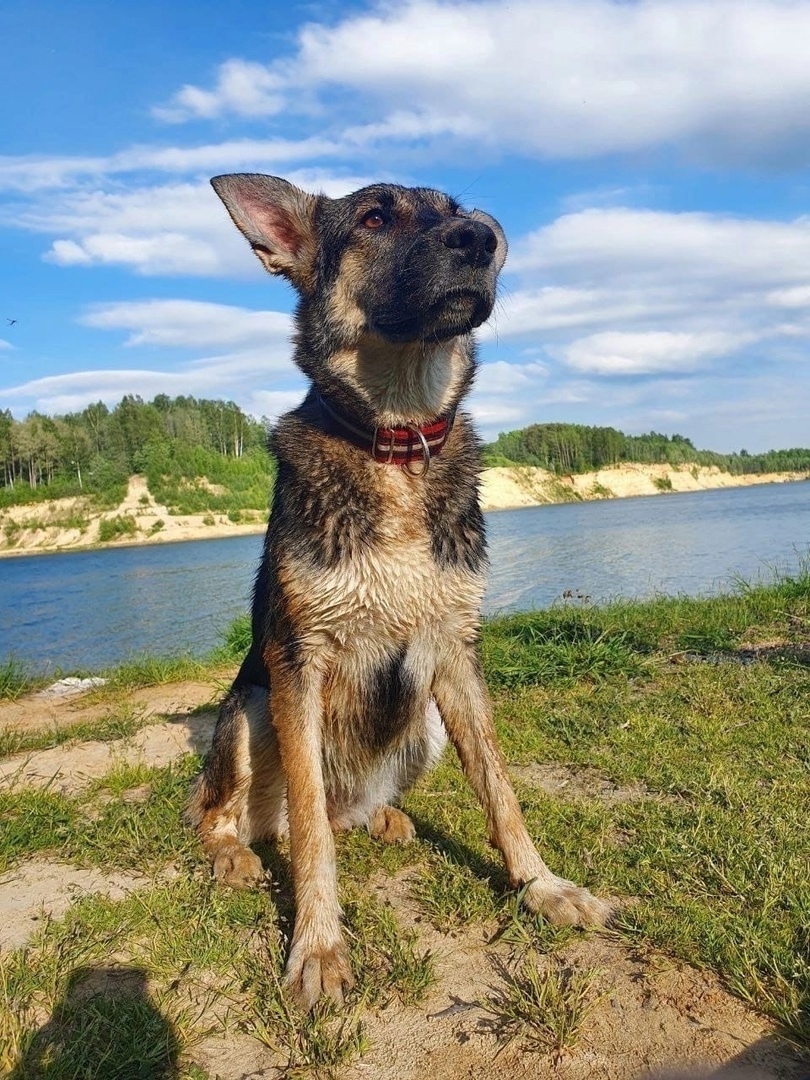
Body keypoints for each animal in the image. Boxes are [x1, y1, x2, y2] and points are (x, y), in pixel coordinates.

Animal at [189, 172, 609, 1006]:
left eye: (457, 212)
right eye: (376, 217)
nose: (482, 238)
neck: (398, 443)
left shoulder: (456, 652)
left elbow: (501, 789)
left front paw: (540, 885)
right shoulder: (296, 661)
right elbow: (311, 834)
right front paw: (318, 945)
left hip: (426, 723)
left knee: (346, 812)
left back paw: (382, 818)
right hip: (249, 710)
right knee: (237, 815)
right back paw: (234, 854)